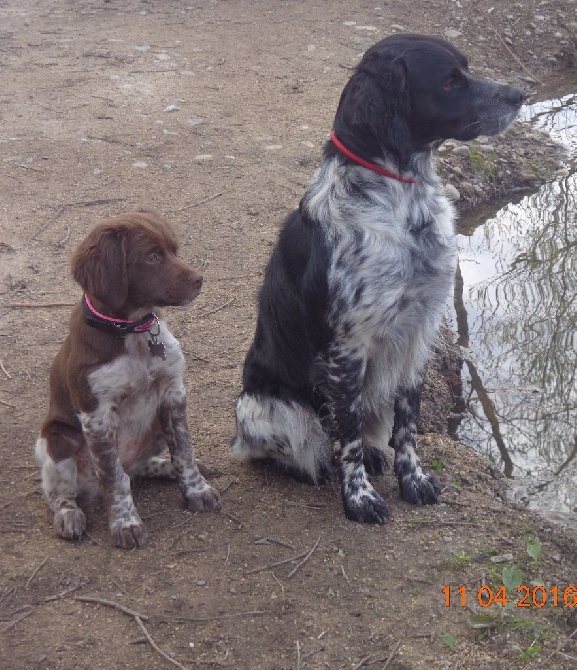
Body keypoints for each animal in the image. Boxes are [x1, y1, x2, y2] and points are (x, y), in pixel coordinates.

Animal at [35, 210, 220, 552]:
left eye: (174, 250)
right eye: (152, 257)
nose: (199, 279)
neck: (131, 331)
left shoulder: (173, 393)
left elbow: (184, 450)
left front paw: (196, 489)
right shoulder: (97, 416)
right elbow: (114, 477)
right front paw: (126, 523)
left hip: (155, 426)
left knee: (140, 468)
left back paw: (164, 467)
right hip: (56, 441)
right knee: (62, 494)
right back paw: (69, 516)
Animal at [231, 34, 520, 524]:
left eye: (466, 69)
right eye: (449, 81)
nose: (519, 95)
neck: (403, 204)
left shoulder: (419, 332)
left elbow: (407, 425)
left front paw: (413, 480)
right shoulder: (348, 346)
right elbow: (345, 434)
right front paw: (359, 497)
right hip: (269, 411)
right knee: (304, 446)